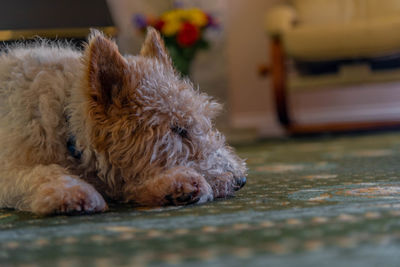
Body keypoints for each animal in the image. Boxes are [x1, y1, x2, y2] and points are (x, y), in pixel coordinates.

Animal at [0, 27, 247, 216]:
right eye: (178, 129)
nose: (240, 180)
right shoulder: (10, 168)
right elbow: (41, 172)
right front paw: (72, 192)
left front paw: (178, 185)